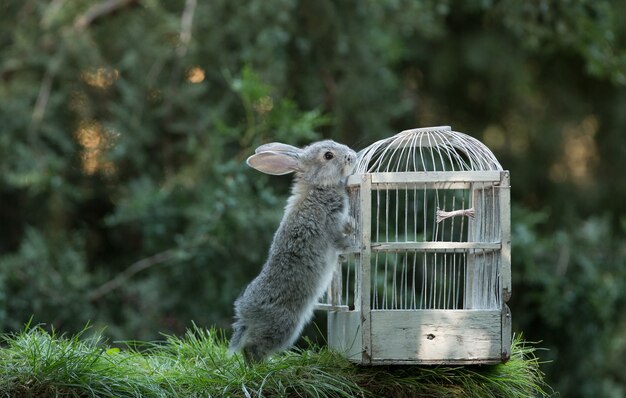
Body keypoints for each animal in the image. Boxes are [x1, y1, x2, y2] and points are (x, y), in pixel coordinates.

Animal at [229, 140, 356, 364]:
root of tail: (245, 313)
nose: (352, 156)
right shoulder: (331, 226)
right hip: (284, 325)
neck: (318, 186)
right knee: (253, 348)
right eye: (328, 156)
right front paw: (356, 243)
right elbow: (340, 241)